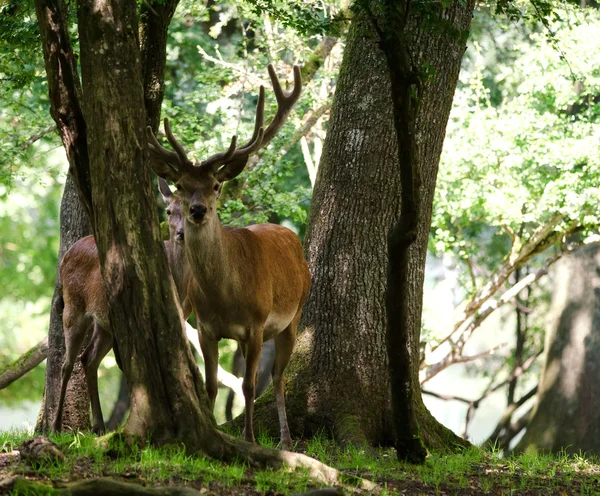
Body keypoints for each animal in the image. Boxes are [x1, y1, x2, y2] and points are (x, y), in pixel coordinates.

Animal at [52, 183, 188, 434]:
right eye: (168, 211)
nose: (181, 233)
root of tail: (65, 256)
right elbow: (133, 367)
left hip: (105, 324)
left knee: (88, 358)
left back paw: (98, 425)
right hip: (73, 308)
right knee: (66, 364)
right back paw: (56, 425)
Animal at [146, 63, 310, 450]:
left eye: (216, 185)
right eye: (180, 186)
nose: (197, 210)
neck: (226, 295)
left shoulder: (255, 324)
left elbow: (249, 386)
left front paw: (249, 439)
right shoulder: (206, 327)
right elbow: (209, 386)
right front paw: (216, 431)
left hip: (294, 314)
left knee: (278, 376)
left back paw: (285, 440)